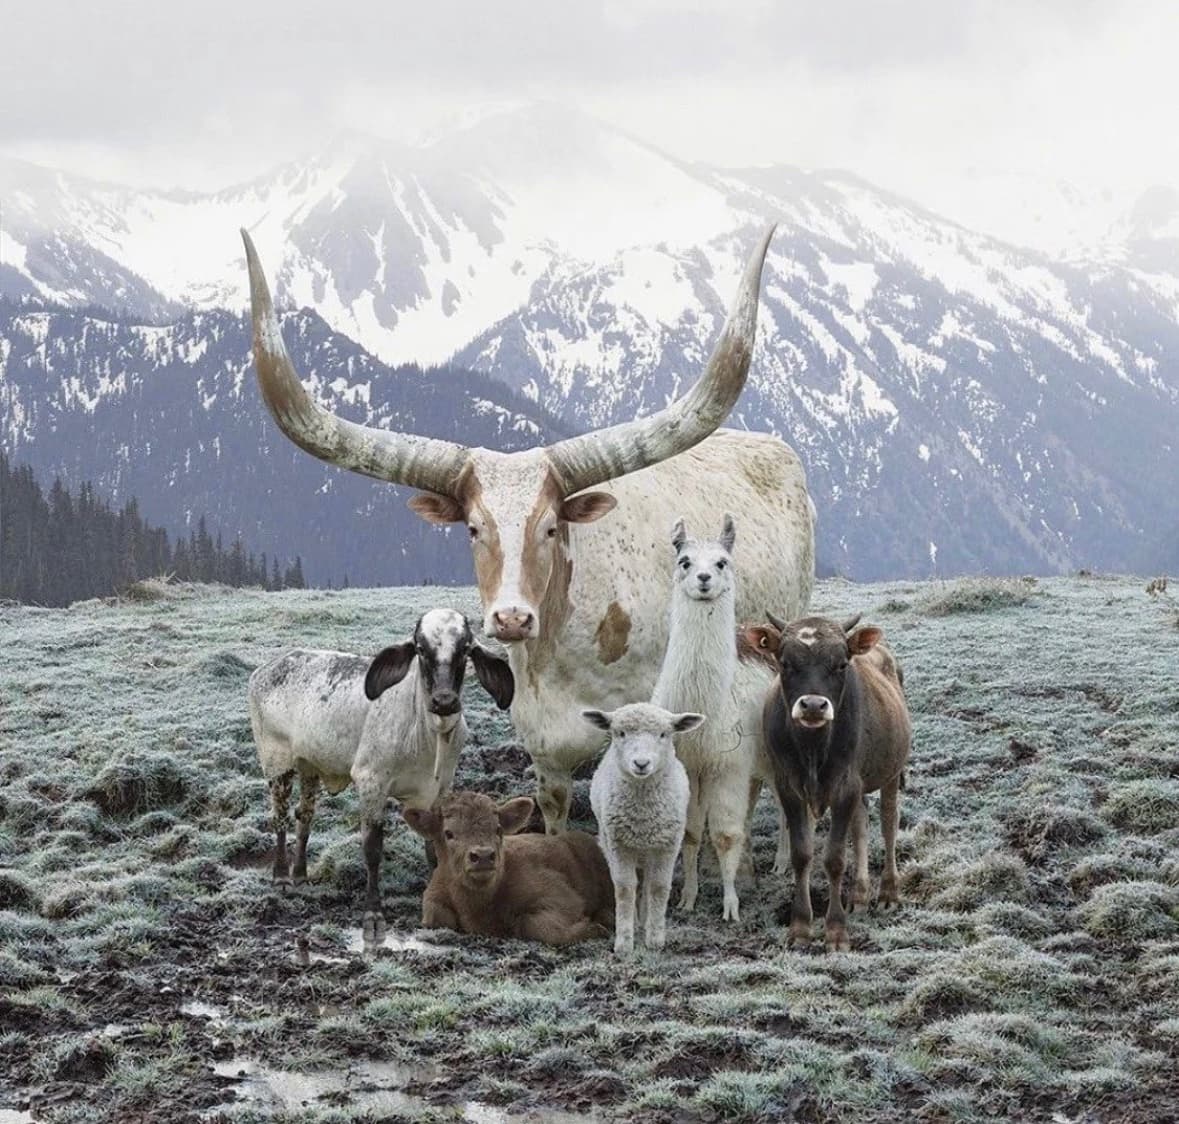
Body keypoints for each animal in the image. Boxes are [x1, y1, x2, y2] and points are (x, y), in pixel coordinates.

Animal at [242, 225, 815, 833]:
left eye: (550, 528)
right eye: (473, 528)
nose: (512, 618)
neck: (564, 647)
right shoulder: (543, 746)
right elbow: (555, 810)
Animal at [247, 609, 513, 927]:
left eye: (465, 649)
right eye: (420, 648)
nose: (444, 701)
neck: (426, 735)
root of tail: (268, 667)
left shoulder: (440, 788)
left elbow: (435, 847)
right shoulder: (371, 782)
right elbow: (372, 849)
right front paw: (373, 910)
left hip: (309, 765)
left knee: (305, 815)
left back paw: (300, 872)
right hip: (276, 762)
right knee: (280, 817)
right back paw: (281, 876)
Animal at [584, 703, 705, 955]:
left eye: (664, 734)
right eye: (620, 733)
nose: (641, 764)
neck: (643, 814)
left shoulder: (667, 845)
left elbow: (658, 887)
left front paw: (655, 938)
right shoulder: (619, 845)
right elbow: (624, 888)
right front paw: (624, 942)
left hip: (651, 850)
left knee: (649, 882)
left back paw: (645, 919)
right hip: (611, 843)